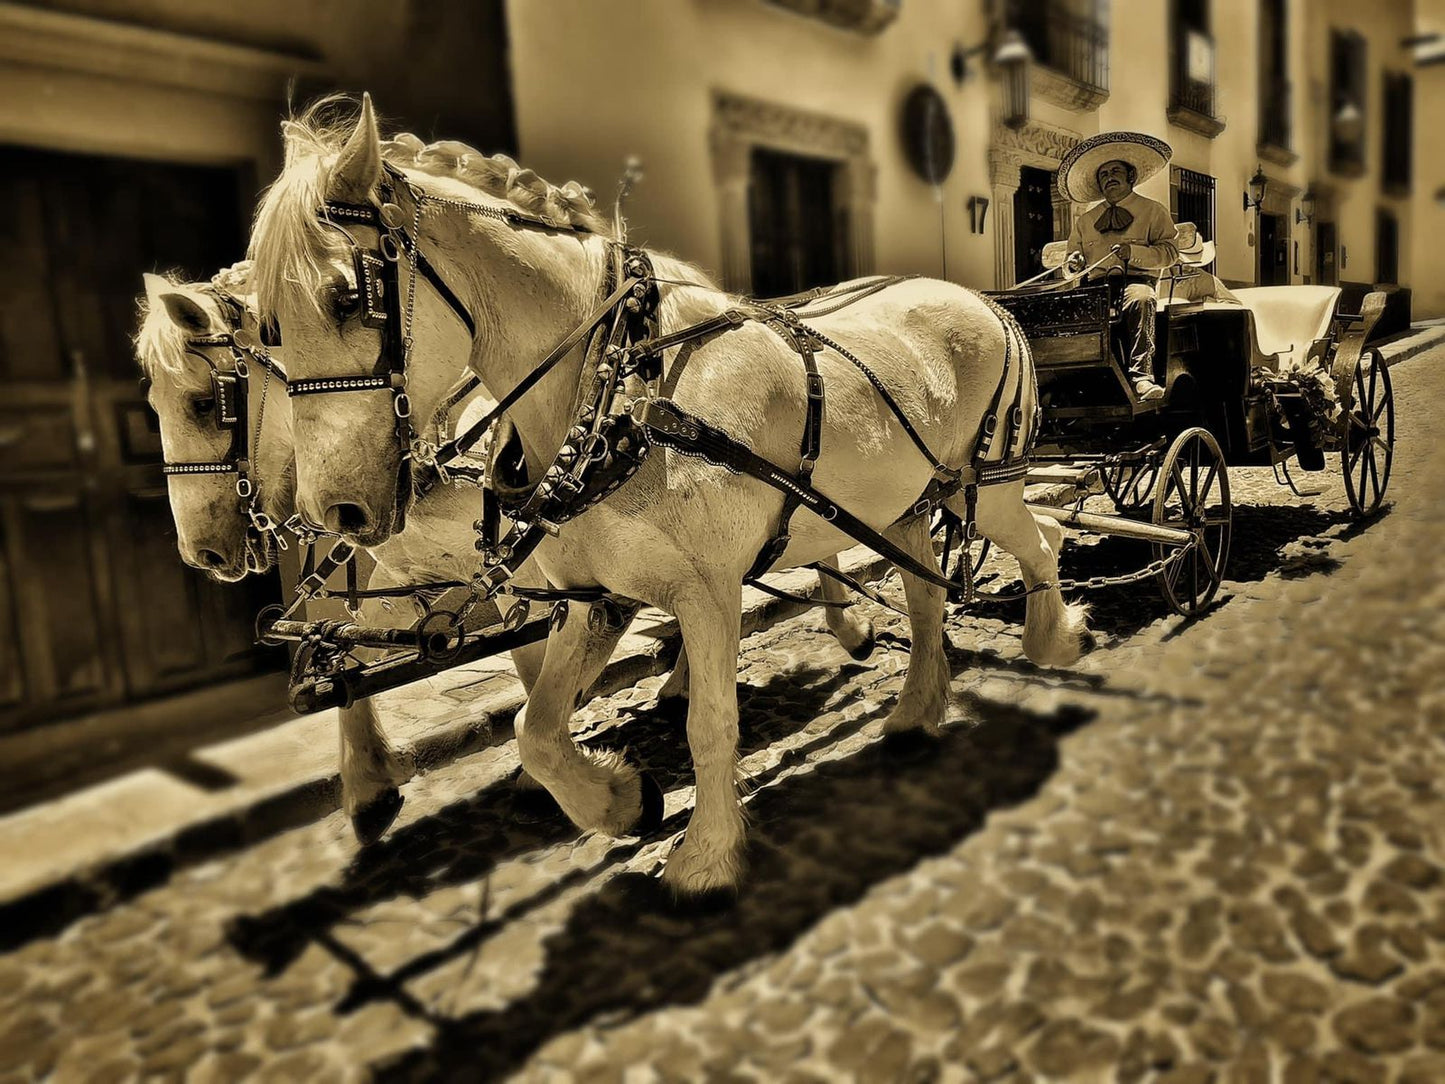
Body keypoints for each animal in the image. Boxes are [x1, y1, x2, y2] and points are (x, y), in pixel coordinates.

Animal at [249, 96, 1090, 895]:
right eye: (265, 325)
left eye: (347, 298)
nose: (334, 512)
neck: (617, 384)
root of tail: (985, 301)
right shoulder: (592, 594)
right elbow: (535, 728)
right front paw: (621, 802)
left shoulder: (706, 592)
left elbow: (710, 725)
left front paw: (706, 857)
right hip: (903, 506)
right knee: (925, 598)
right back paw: (916, 710)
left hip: (987, 483)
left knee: (1039, 538)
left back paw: (1052, 640)